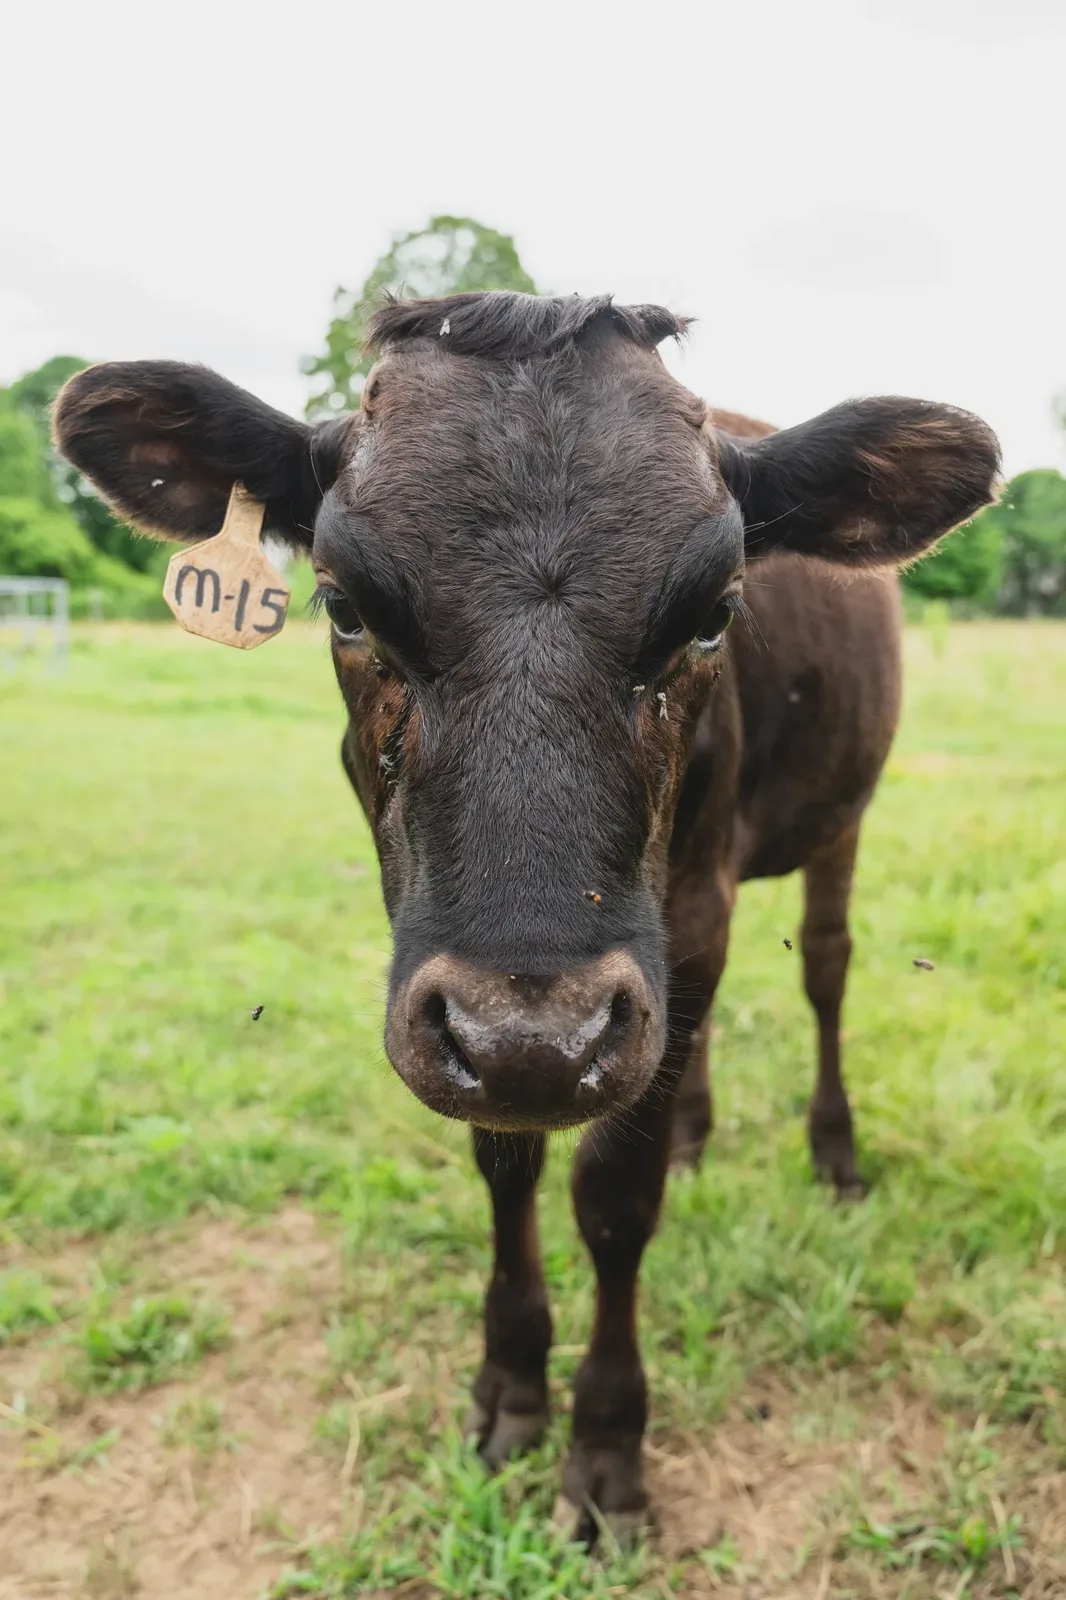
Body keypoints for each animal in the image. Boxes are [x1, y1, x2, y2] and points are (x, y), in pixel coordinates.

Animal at [53, 292, 999, 1541]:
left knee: (826, 972)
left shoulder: (678, 922)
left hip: (837, 816)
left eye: (716, 615)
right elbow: (505, 1164)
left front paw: (604, 1443)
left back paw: (832, 1153)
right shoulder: (484, 998)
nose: (537, 1041)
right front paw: (508, 1382)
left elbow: (614, 1196)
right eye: (343, 606)